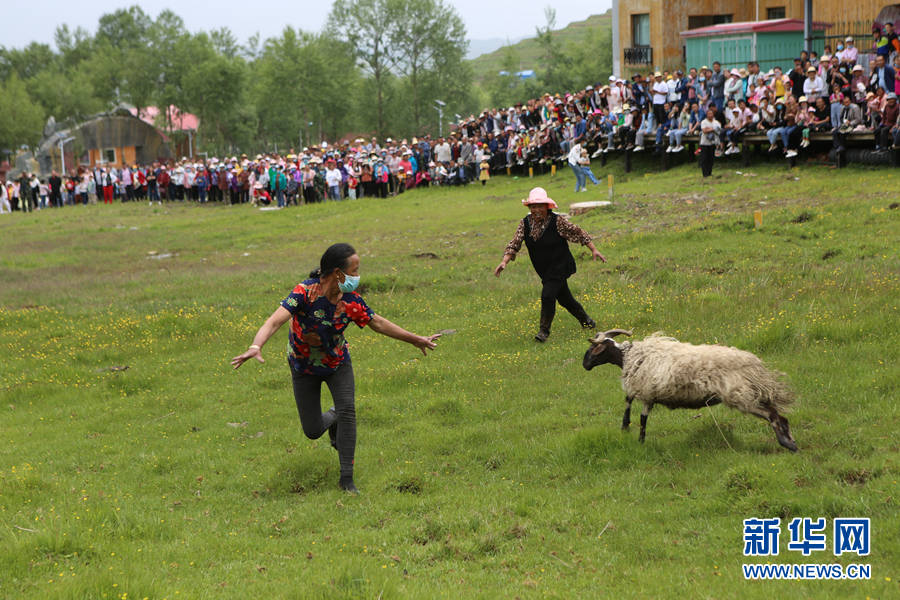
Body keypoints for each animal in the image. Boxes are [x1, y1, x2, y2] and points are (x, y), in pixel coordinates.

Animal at [584, 330, 800, 452]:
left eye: (594, 350)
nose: (584, 365)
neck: (628, 356)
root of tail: (754, 365)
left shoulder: (647, 391)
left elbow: (641, 417)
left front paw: (639, 439)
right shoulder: (646, 391)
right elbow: (628, 400)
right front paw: (625, 426)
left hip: (740, 394)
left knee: (772, 415)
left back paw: (787, 444)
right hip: (749, 392)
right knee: (779, 415)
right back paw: (791, 440)